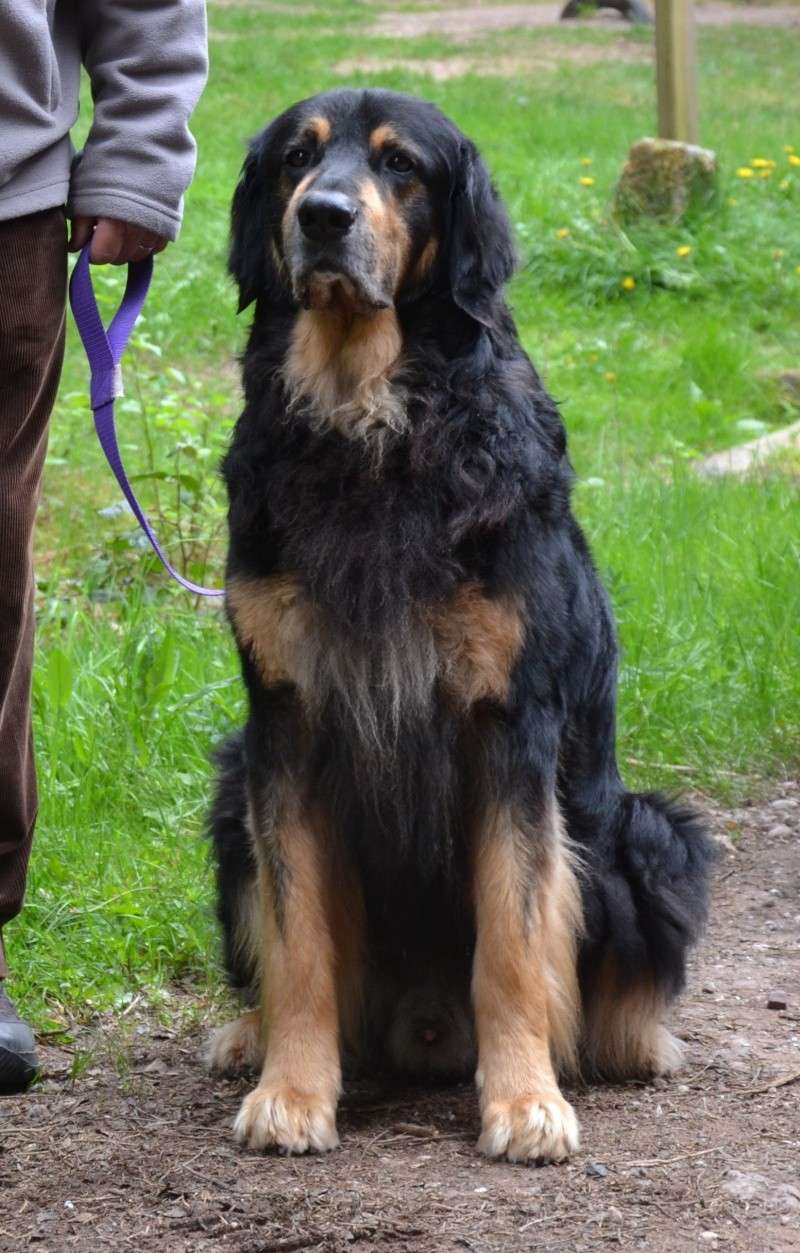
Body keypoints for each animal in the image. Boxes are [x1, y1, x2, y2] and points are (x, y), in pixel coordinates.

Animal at [205, 88, 712, 1162]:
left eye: (401, 166)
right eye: (295, 159)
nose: (323, 217)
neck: (371, 421)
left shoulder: (508, 726)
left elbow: (514, 938)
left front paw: (524, 1100)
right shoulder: (283, 727)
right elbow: (298, 936)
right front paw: (293, 1089)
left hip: (649, 828)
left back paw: (629, 1043)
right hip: (228, 793)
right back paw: (248, 1031)